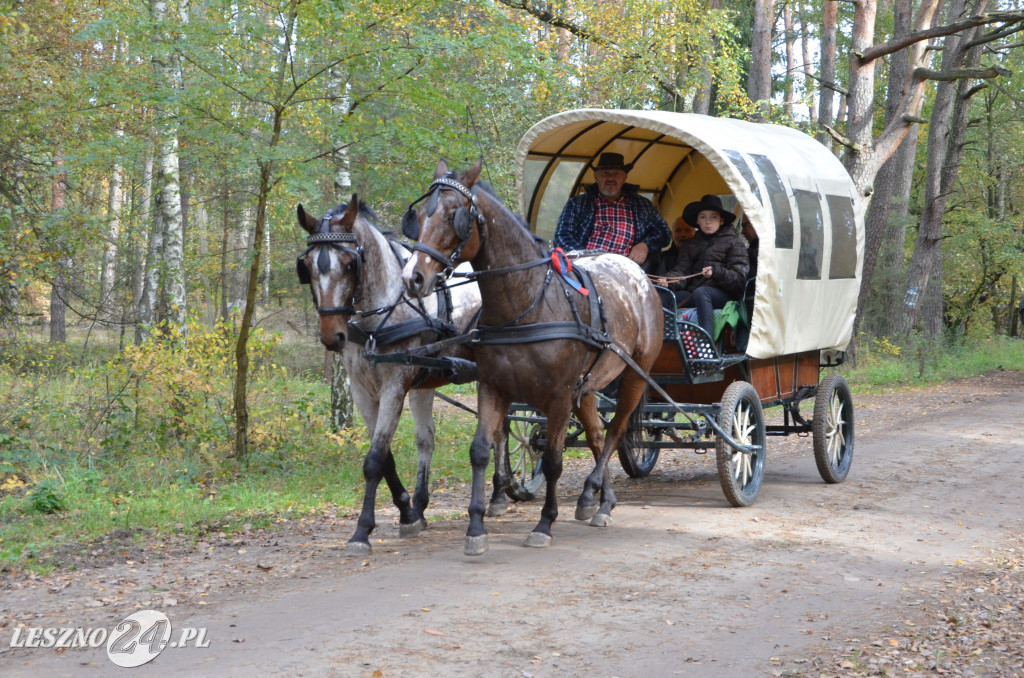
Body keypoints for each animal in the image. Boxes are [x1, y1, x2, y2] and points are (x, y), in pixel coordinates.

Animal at [296, 196, 491, 557]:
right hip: (427, 383)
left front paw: (362, 531)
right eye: (308, 267)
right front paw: (407, 511)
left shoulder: (394, 387)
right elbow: (385, 456)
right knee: (428, 437)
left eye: (350, 264)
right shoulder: (362, 391)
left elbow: (374, 460)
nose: (332, 336)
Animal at [399, 161, 663, 557]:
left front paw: (544, 524)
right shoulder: (494, 386)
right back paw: (598, 499)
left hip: (635, 373)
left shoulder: (558, 396)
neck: (527, 304)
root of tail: (637, 272)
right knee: (596, 434)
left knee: (615, 432)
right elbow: (481, 449)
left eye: (452, 216)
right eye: (417, 216)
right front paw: (476, 527)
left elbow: (553, 461)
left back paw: (595, 494)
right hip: (587, 387)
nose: (412, 278)